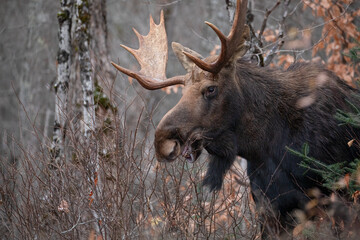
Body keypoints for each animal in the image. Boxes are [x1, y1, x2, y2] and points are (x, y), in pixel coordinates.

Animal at [111, 0, 358, 234]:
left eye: (211, 89)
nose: (162, 142)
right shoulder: (270, 209)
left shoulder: (337, 196)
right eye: (183, 90)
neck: (264, 148)